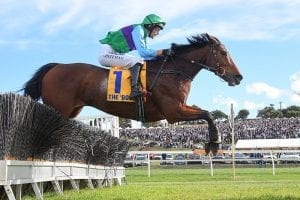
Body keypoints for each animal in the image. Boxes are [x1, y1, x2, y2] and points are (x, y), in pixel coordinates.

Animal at [22, 33, 243, 155]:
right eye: (224, 53)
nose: (238, 77)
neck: (173, 71)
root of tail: (55, 67)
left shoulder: (178, 109)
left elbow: (207, 114)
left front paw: (213, 142)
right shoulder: (173, 112)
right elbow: (208, 114)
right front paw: (214, 143)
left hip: (71, 111)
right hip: (58, 109)